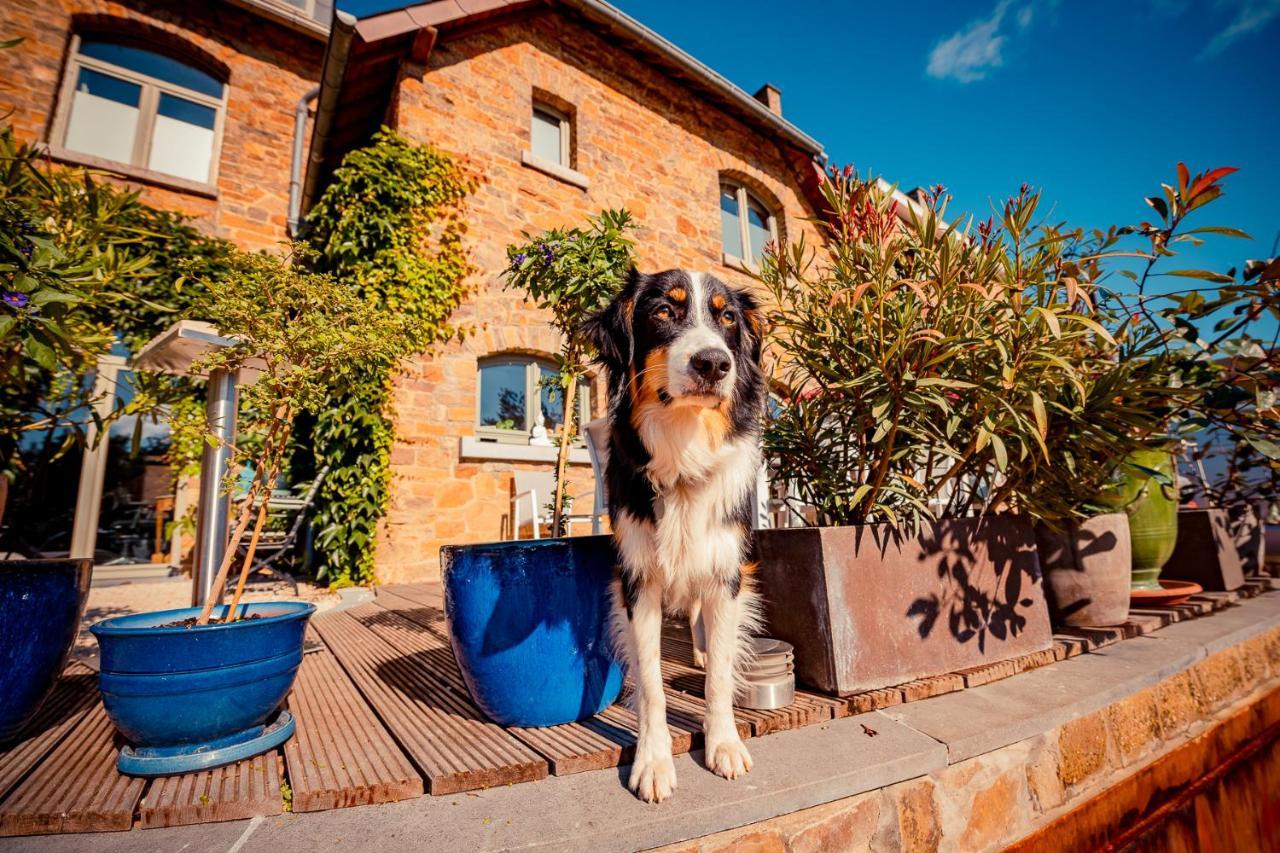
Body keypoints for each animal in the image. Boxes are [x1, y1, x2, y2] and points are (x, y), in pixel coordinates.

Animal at [586, 268, 762, 799]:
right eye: (664, 311)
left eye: (728, 318)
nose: (715, 363)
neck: (685, 446)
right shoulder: (638, 581)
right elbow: (650, 681)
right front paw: (653, 761)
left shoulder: (727, 572)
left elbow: (720, 673)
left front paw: (723, 744)